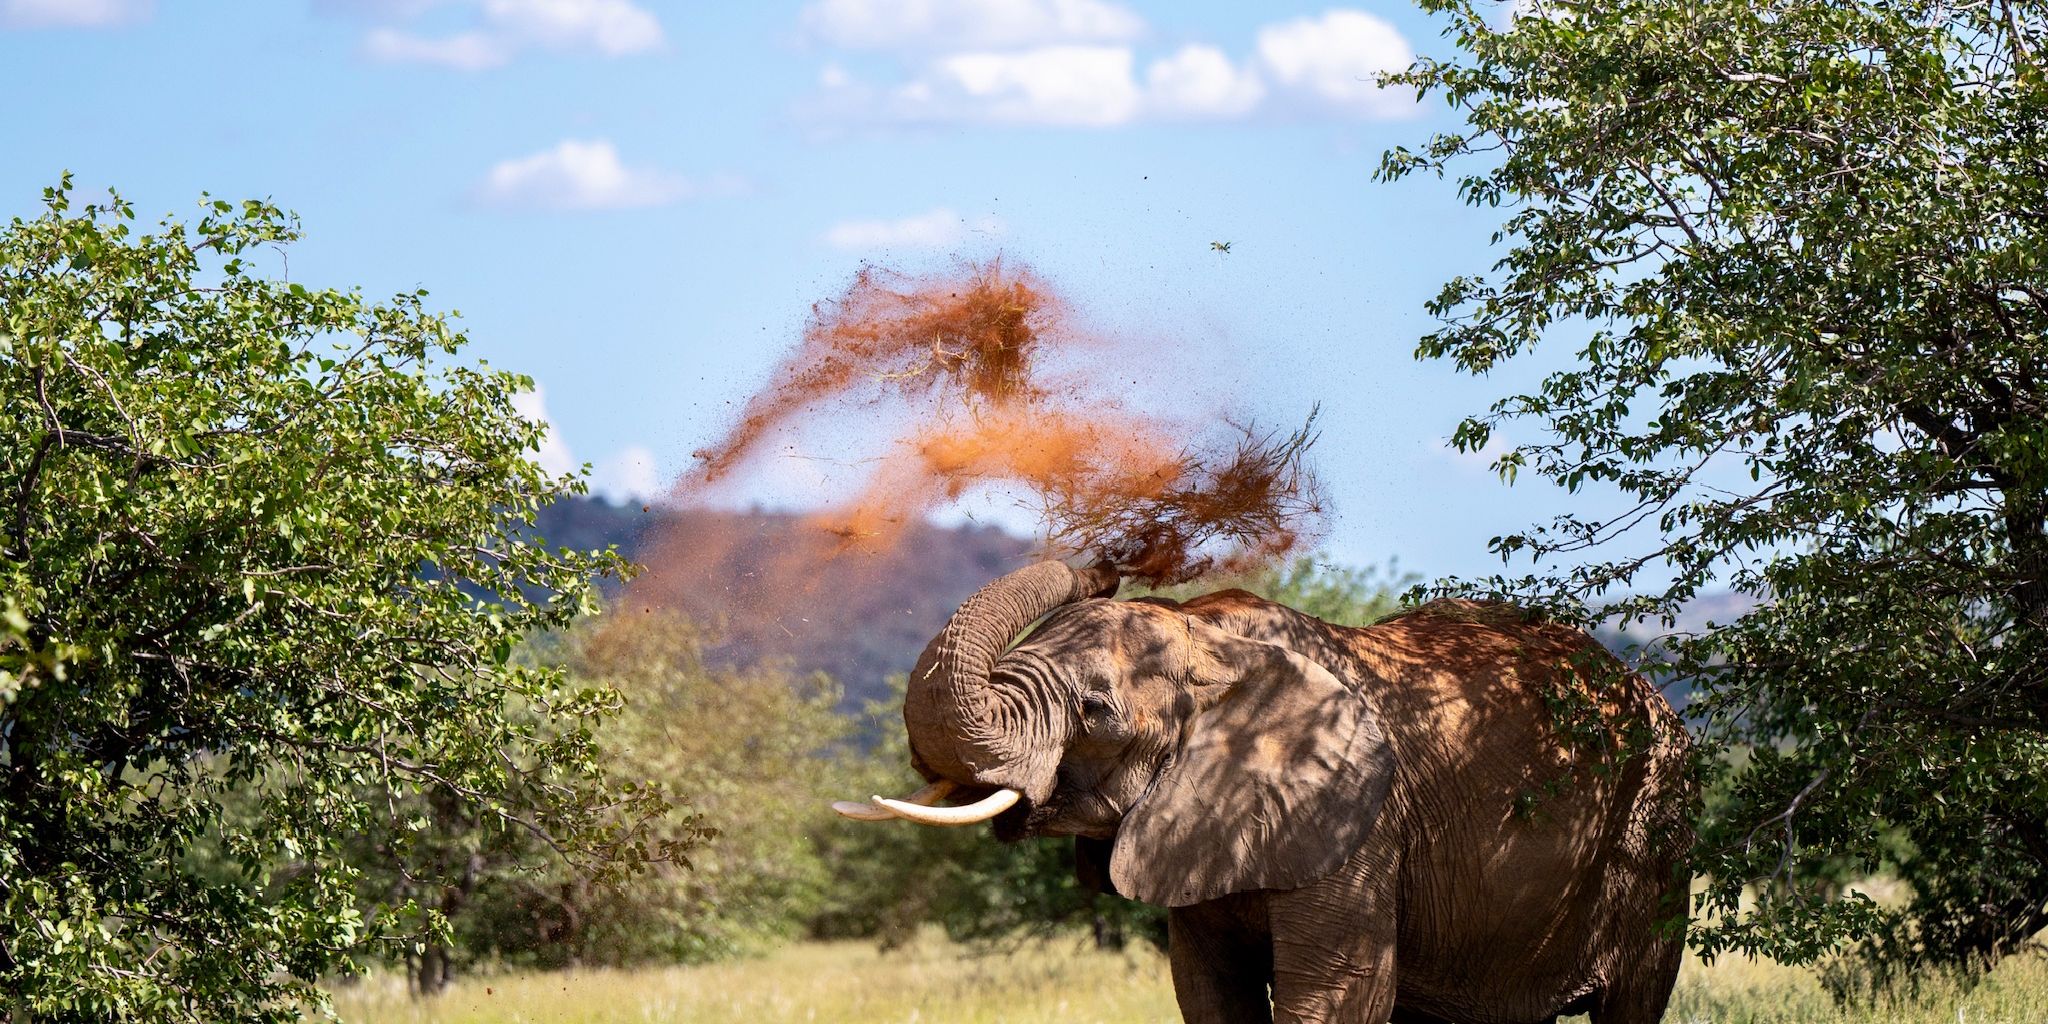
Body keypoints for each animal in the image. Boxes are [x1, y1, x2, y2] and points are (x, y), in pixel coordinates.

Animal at [833, 560, 1695, 1024]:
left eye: (1095, 713)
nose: (1105, 564)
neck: (1208, 637)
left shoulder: (1358, 822)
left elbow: (1338, 996)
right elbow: (1211, 994)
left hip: (1657, 833)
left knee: (1632, 1000)